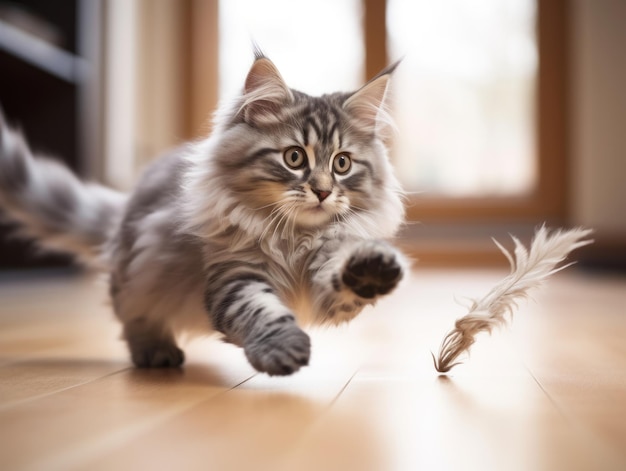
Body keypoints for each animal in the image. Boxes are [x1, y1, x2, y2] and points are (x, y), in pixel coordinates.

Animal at [0, 52, 408, 376]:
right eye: (294, 157)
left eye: (342, 164)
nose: (322, 192)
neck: (293, 238)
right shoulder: (233, 273)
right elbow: (261, 310)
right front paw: (281, 351)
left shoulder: (327, 280)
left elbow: (344, 275)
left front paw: (369, 270)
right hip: (138, 267)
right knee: (131, 312)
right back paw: (155, 351)